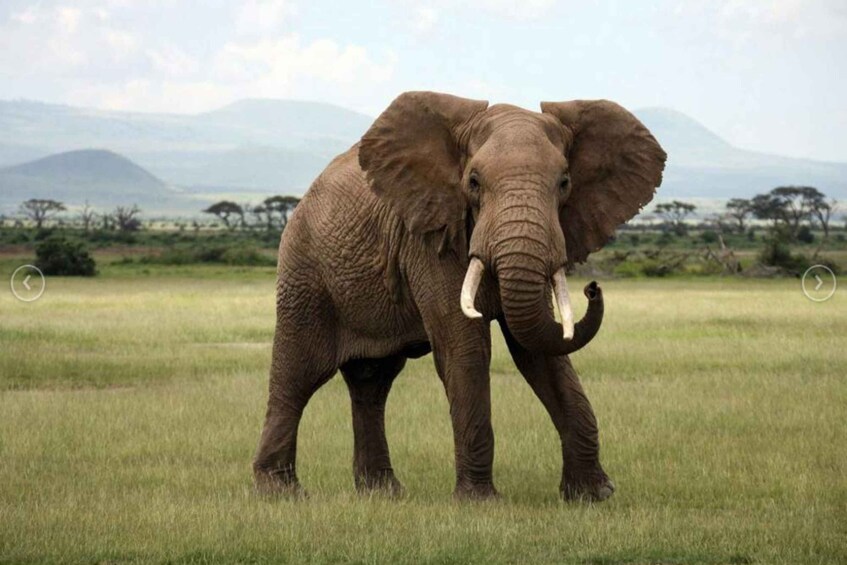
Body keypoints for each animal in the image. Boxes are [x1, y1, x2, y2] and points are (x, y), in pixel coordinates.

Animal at [253, 91, 666, 501]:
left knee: (372, 382)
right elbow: (466, 347)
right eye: (474, 182)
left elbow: (539, 351)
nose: (592, 288)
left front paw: (594, 496)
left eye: (564, 182)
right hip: (304, 273)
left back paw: (383, 494)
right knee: (299, 374)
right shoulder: (430, 237)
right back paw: (281, 493)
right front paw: (480, 502)